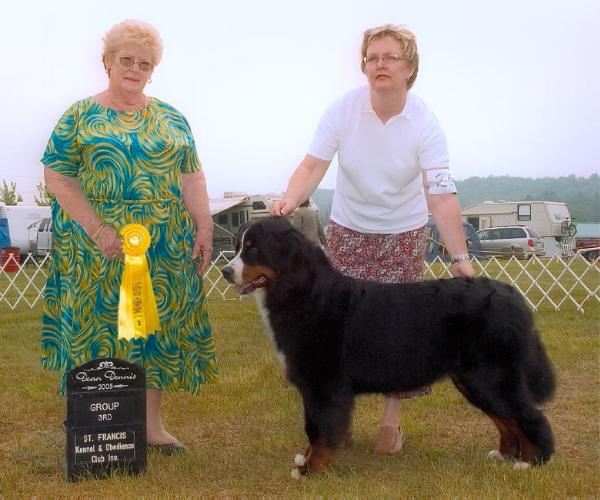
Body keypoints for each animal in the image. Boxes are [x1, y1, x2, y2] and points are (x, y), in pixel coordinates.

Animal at [220, 217, 552, 478]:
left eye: (253, 248)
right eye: (238, 246)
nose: (224, 271)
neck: (303, 291)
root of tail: (511, 293)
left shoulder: (323, 383)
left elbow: (319, 429)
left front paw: (311, 469)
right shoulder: (315, 385)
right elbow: (315, 427)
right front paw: (306, 459)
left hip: (490, 376)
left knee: (528, 416)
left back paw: (531, 462)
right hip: (474, 379)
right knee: (505, 419)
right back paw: (506, 454)